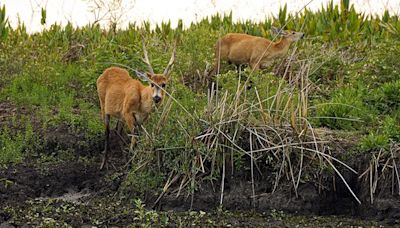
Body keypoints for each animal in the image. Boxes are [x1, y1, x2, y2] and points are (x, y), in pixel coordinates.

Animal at [96, 38, 176, 169]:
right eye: (152, 83)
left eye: (164, 84)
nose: (157, 97)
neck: (141, 104)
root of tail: (105, 71)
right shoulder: (127, 111)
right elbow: (134, 137)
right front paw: (131, 160)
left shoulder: (141, 119)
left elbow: (137, 137)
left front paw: (130, 159)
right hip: (103, 104)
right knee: (107, 131)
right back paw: (103, 164)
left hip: (120, 115)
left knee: (117, 130)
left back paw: (122, 157)